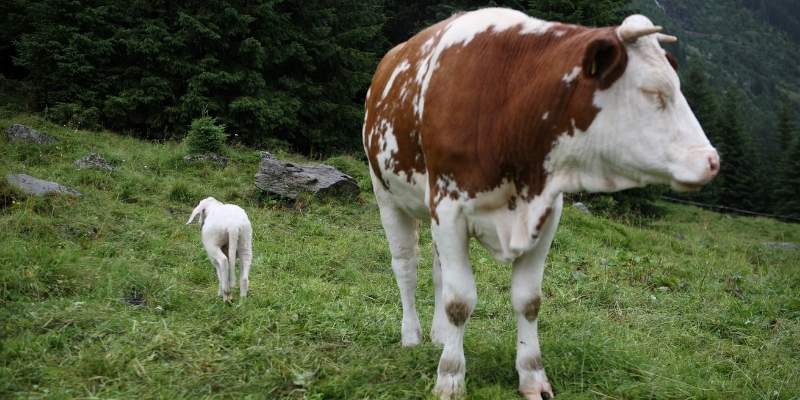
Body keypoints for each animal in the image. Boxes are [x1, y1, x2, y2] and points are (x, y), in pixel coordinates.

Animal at [362, 8, 719, 400]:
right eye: (654, 92)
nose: (711, 161)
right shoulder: (449, 208)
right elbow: (460, 301)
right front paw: (451, 377)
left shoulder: (547, 213)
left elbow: (528, 300)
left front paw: (532, 375)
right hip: (386, 194)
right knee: (406, 267)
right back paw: (411, 335)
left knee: (439, 270)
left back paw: (440, 335)